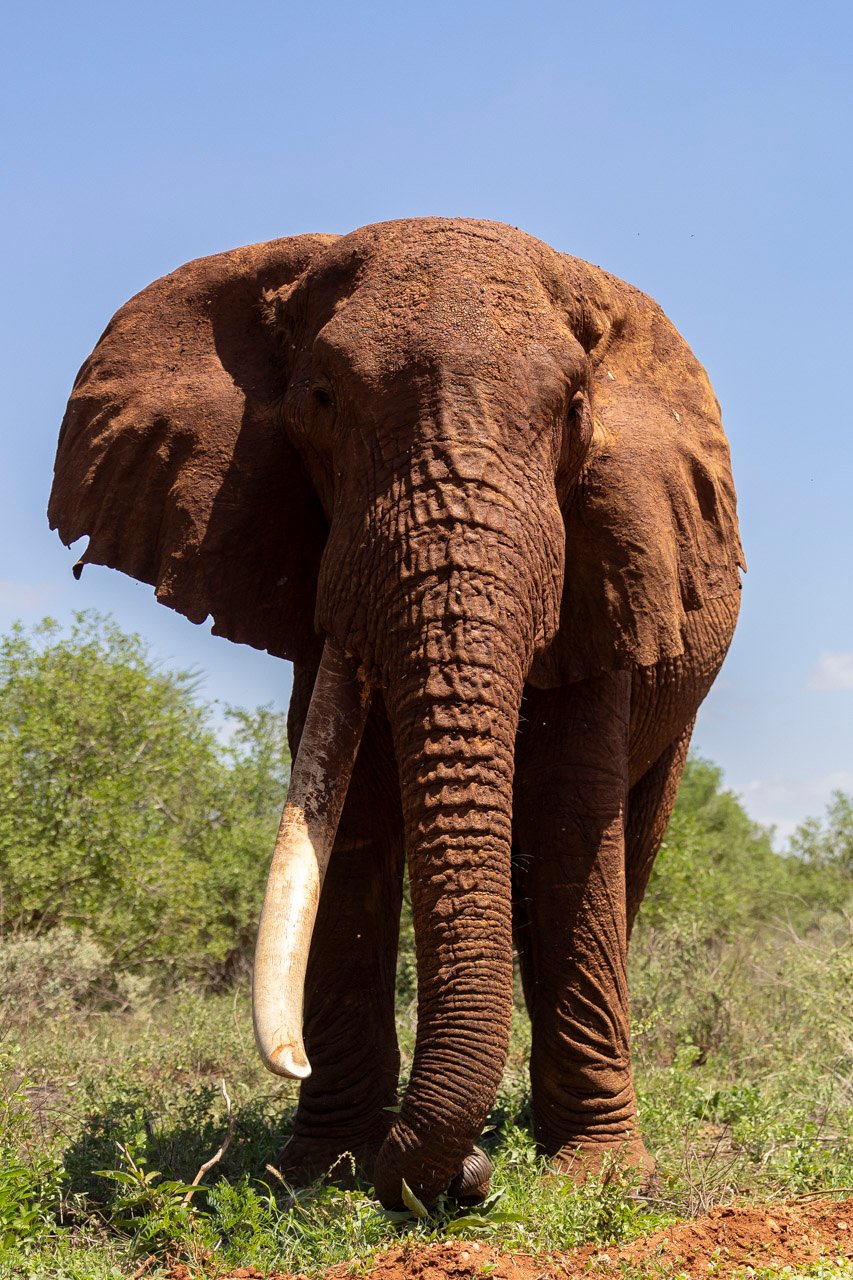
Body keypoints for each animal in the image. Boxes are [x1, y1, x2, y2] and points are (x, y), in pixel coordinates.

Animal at [48, 218, 743, 1210]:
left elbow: (573, 820)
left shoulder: (616, 556)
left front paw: (601, 1179)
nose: (468, 1175)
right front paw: (322, 1171)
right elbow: (351, 820)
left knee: (626, 843)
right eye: (323, 400)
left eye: (574, 406)